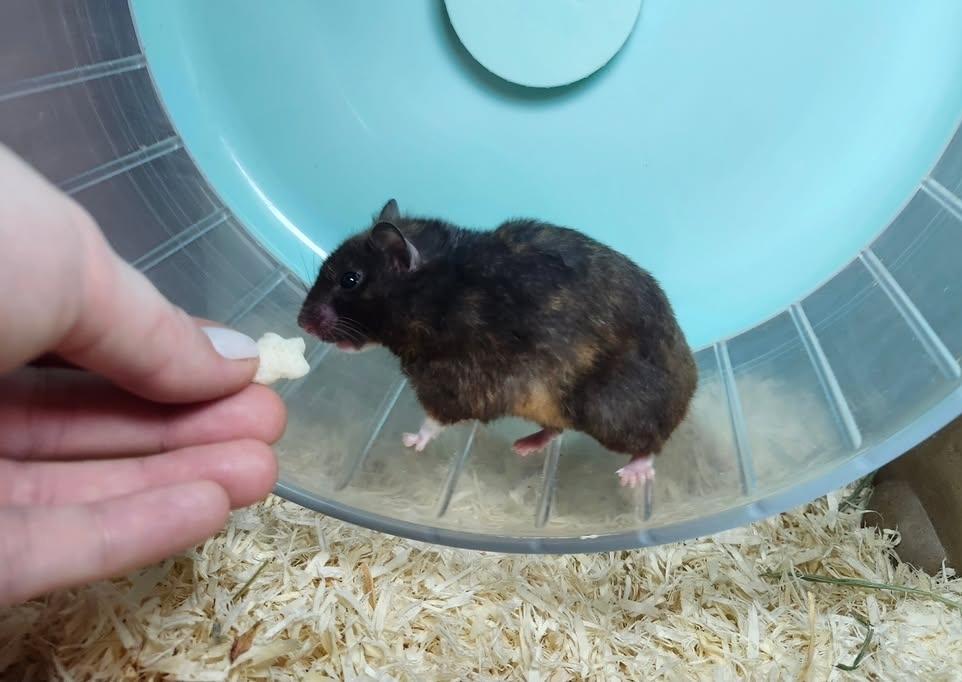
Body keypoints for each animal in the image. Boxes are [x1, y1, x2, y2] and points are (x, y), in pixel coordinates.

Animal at [298, 200, 697, 487]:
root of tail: (689, 392)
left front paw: (409, 441)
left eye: (350, 279)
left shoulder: (454, 381)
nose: (300, 322)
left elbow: (435, 418)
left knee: (650, 444)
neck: (433, 291)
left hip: (608, 410)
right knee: (557, 428)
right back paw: (523, 447)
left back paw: (632, 476)